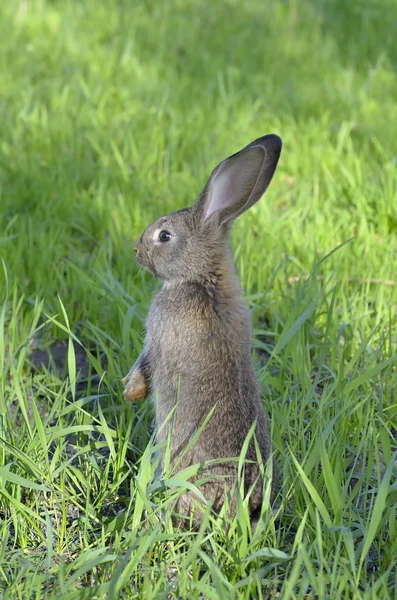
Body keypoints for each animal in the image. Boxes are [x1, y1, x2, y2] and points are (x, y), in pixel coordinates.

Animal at [122, 134, 280, 528]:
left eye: (164, 236)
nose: (136, 249)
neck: (201, 278)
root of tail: (239, 508)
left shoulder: (157, 338)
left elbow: (145, 363)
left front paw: (132, 391)